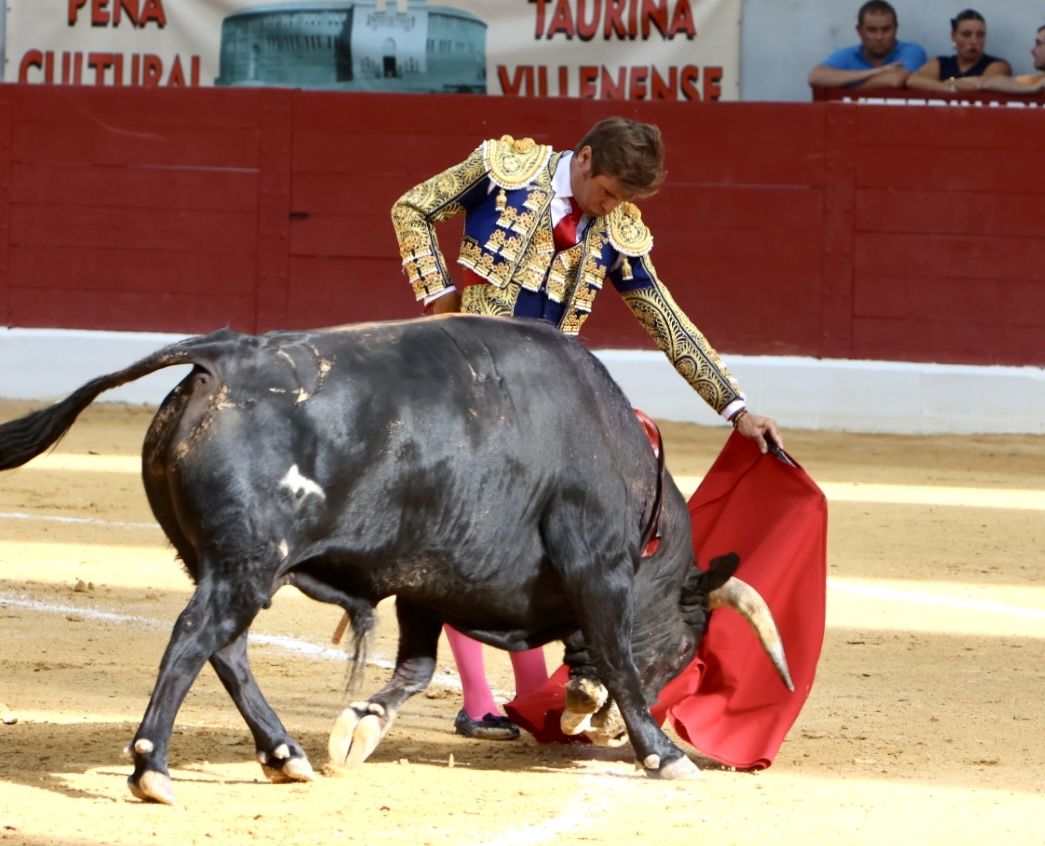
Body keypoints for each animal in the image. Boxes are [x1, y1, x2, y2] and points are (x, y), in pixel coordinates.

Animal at [0, 313, 785, 802]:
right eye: (687, 646)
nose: (605, 733)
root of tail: (221, 358)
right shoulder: (597, 570)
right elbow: (619, 659)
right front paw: (664, 754)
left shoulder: (426, 580)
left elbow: (416, 667)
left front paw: (359, 728)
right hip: (245, 564)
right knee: (196, 639)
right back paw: (152, 769)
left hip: (224, 566)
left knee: (226, 649)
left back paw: (285, 756)